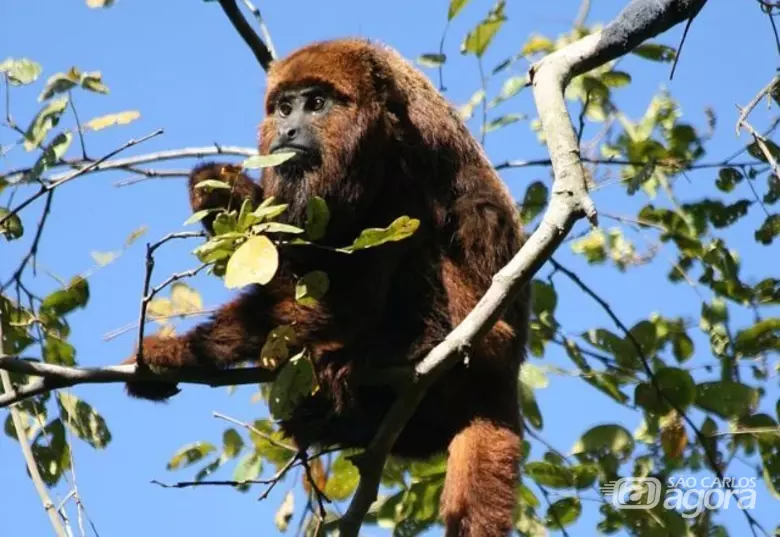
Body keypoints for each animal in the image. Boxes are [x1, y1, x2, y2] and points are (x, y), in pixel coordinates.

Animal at [126, 38, 532, 536]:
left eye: (316, 104)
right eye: (284, 108)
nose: (288, 130)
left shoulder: (403, 161)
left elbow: (351, 291)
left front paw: (181, 352)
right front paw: (217, 192)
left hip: (488, 341)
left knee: (452, 231)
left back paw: (407, 349)